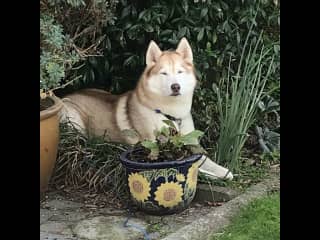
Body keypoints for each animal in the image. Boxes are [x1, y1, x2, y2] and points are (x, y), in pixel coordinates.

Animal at [60, 38, 234, 180]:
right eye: (164, 73)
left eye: (179, 71)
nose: (175, 86)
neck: (170, 114)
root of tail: (63, 97)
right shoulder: (153, 145)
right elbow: (197, 166)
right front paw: (214, 175)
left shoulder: (191, 142)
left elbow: (208, 161)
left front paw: (225, 172)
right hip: (75, 122)